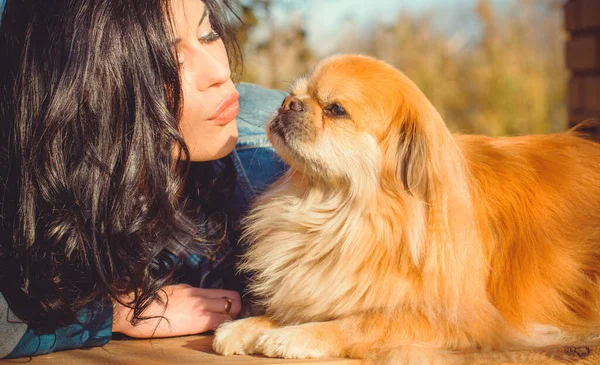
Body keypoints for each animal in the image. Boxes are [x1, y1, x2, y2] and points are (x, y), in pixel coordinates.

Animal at [213, 54, 600, 364]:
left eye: (335, 109)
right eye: (293, 94)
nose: (290, 103)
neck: (342, 213)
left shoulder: (462, 322)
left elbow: (365, 321)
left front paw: (294, 334)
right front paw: (249, 325)